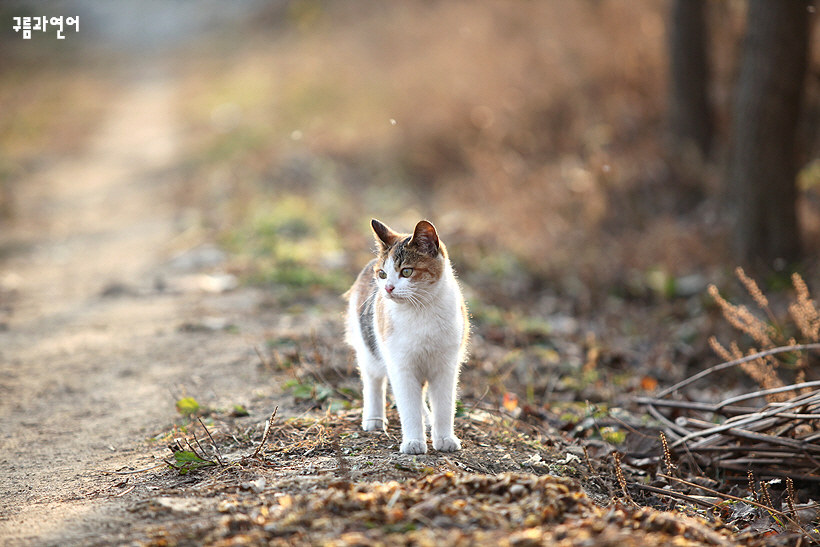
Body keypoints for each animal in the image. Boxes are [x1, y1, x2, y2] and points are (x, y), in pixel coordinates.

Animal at [344, 218, 468, 454]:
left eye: (407, 272)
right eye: (382, 274)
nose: (388, 288)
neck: (421, 311)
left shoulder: (446, 366)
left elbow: (444, 405)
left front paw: (444, 438)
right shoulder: (401, 366)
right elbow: (408, 406)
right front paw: (413, 442)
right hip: (369, 348)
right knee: (373, 380)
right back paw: (374, 419)